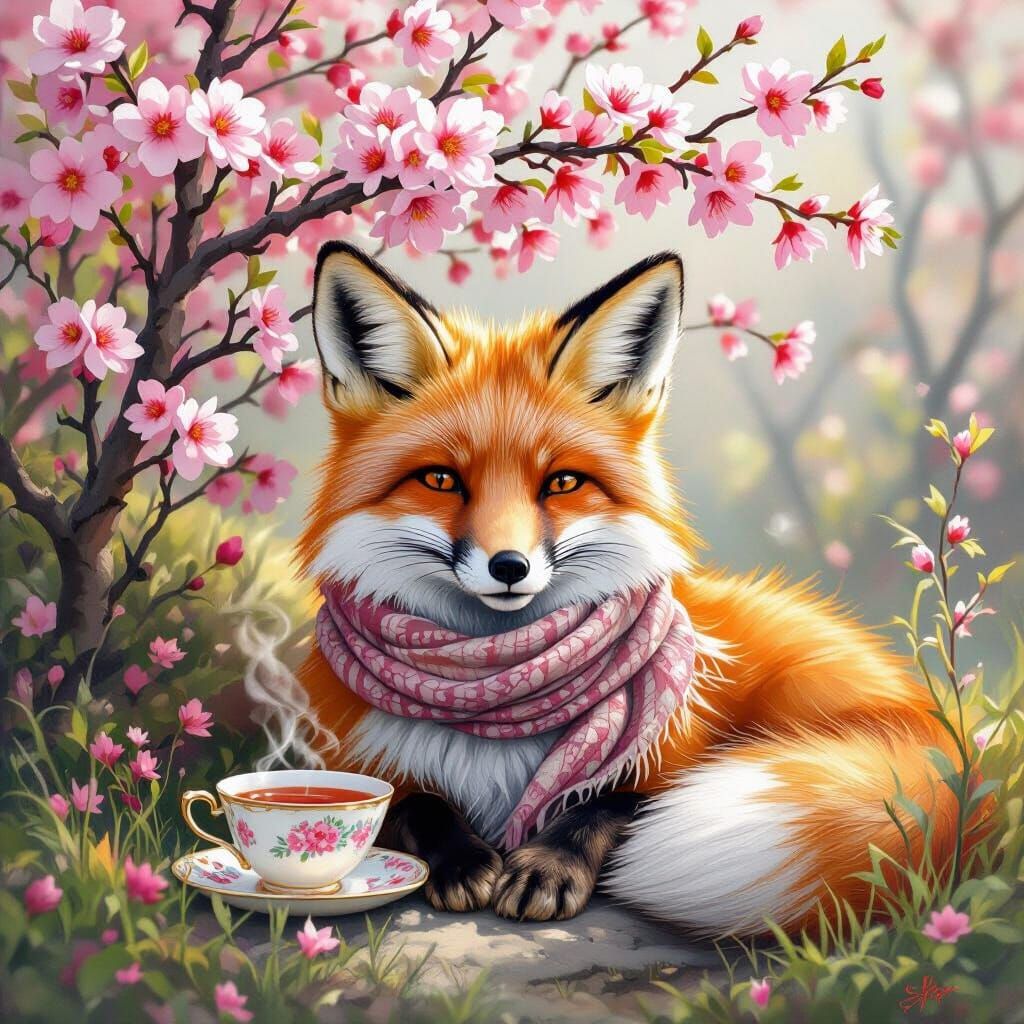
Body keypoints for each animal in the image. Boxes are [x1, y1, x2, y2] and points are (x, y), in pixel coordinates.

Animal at [294, 241, 967, 937]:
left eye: (562, 482)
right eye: (441, 479)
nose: (509, 566)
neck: (500, 700)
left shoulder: (674, 754)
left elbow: (616, 802)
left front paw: (548, 862)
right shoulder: (356, 761)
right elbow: (411, 801)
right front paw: (461, 856)